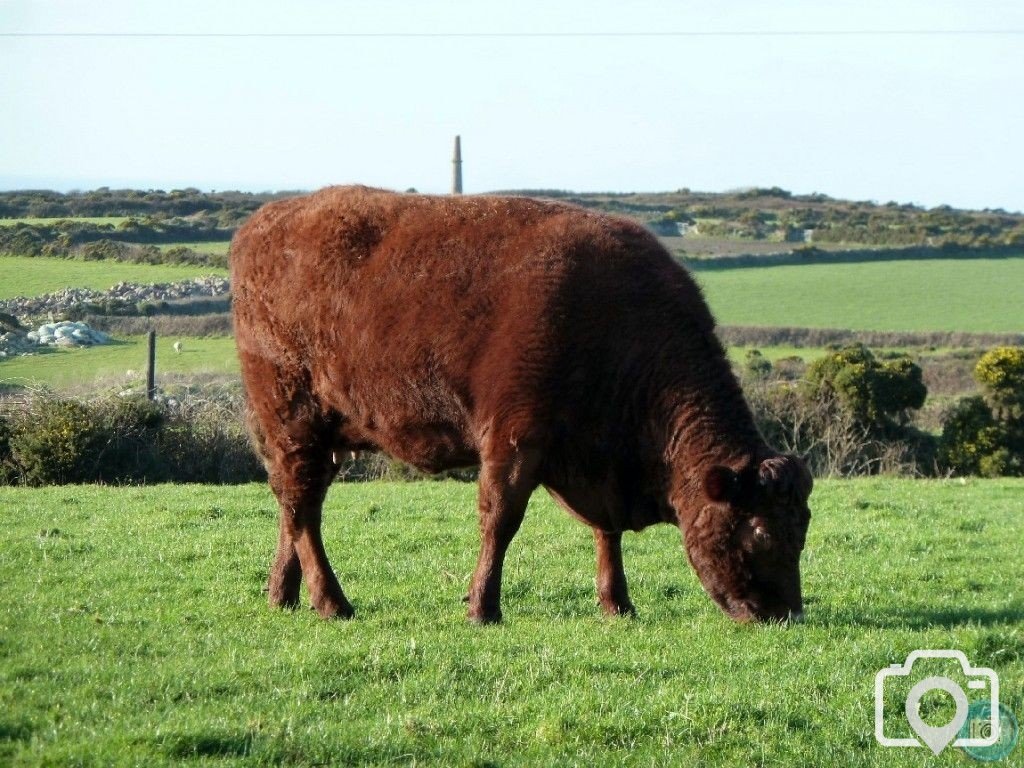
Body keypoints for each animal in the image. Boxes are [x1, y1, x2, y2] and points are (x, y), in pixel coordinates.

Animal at [234, 186, 815, 626]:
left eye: (803, 528)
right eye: (760, 532)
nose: (786, 613)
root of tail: (262, 224)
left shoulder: (595, 461)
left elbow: (605, 532)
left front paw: (617, 604)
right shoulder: (514, 439)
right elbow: (500, 519)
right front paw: (483, 608)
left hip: (321, 437)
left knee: (297, 506)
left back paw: (283, 595)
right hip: (294, 422)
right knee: (302, 507)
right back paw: (332, 602)